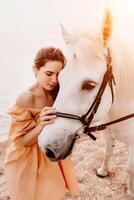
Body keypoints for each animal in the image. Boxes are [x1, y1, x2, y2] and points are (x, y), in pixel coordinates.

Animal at [38, 10, 134, 196]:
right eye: (60, 78)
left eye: (89, 85)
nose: (46, 147)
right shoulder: (107, 131)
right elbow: (107, 152)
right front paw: (103, 171)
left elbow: (129, 168)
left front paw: (131, 192)